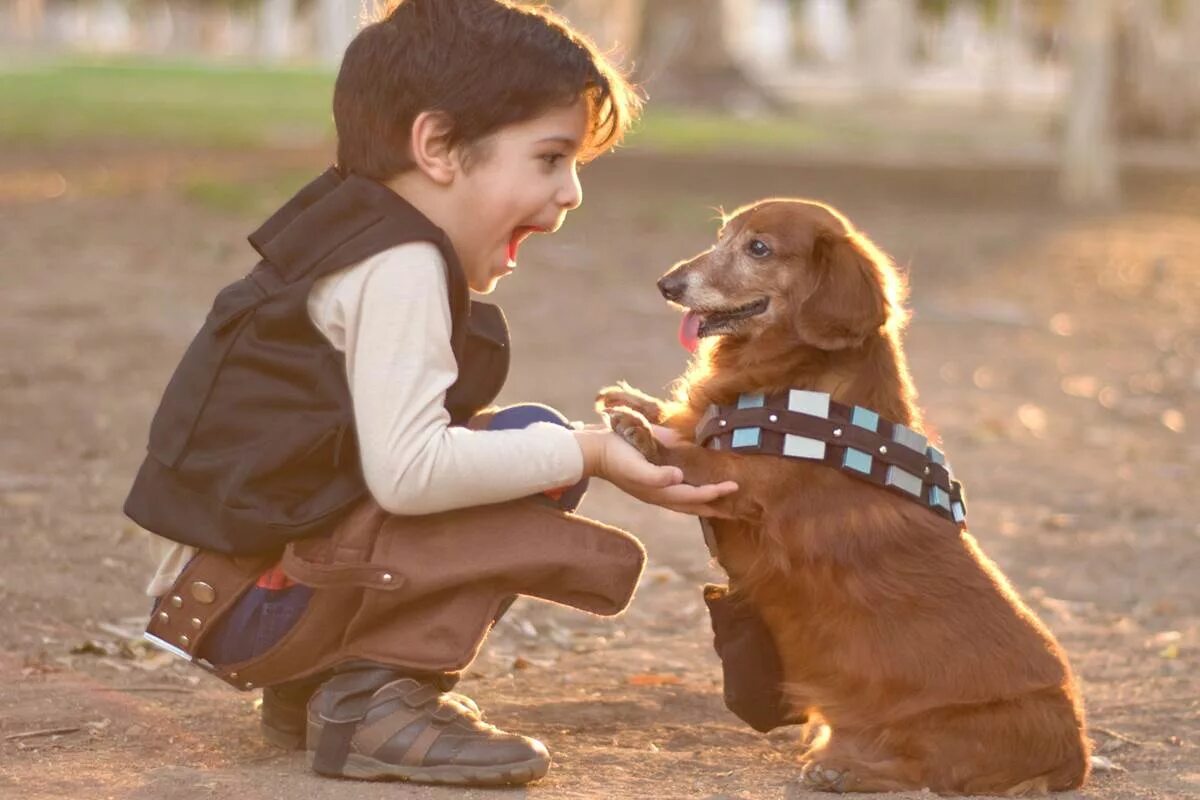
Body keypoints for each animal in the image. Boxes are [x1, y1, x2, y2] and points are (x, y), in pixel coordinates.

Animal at [597, 200, 1089, 796]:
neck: (799, 382)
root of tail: (1076, 754)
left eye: (758, 248)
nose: (668, 284)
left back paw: (844, 769)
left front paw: (637, 431)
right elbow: (684, 421)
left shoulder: (740, 483)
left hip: (946, 727)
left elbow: (688, 456)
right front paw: (634, 400)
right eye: (722, 235)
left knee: (923, 770)